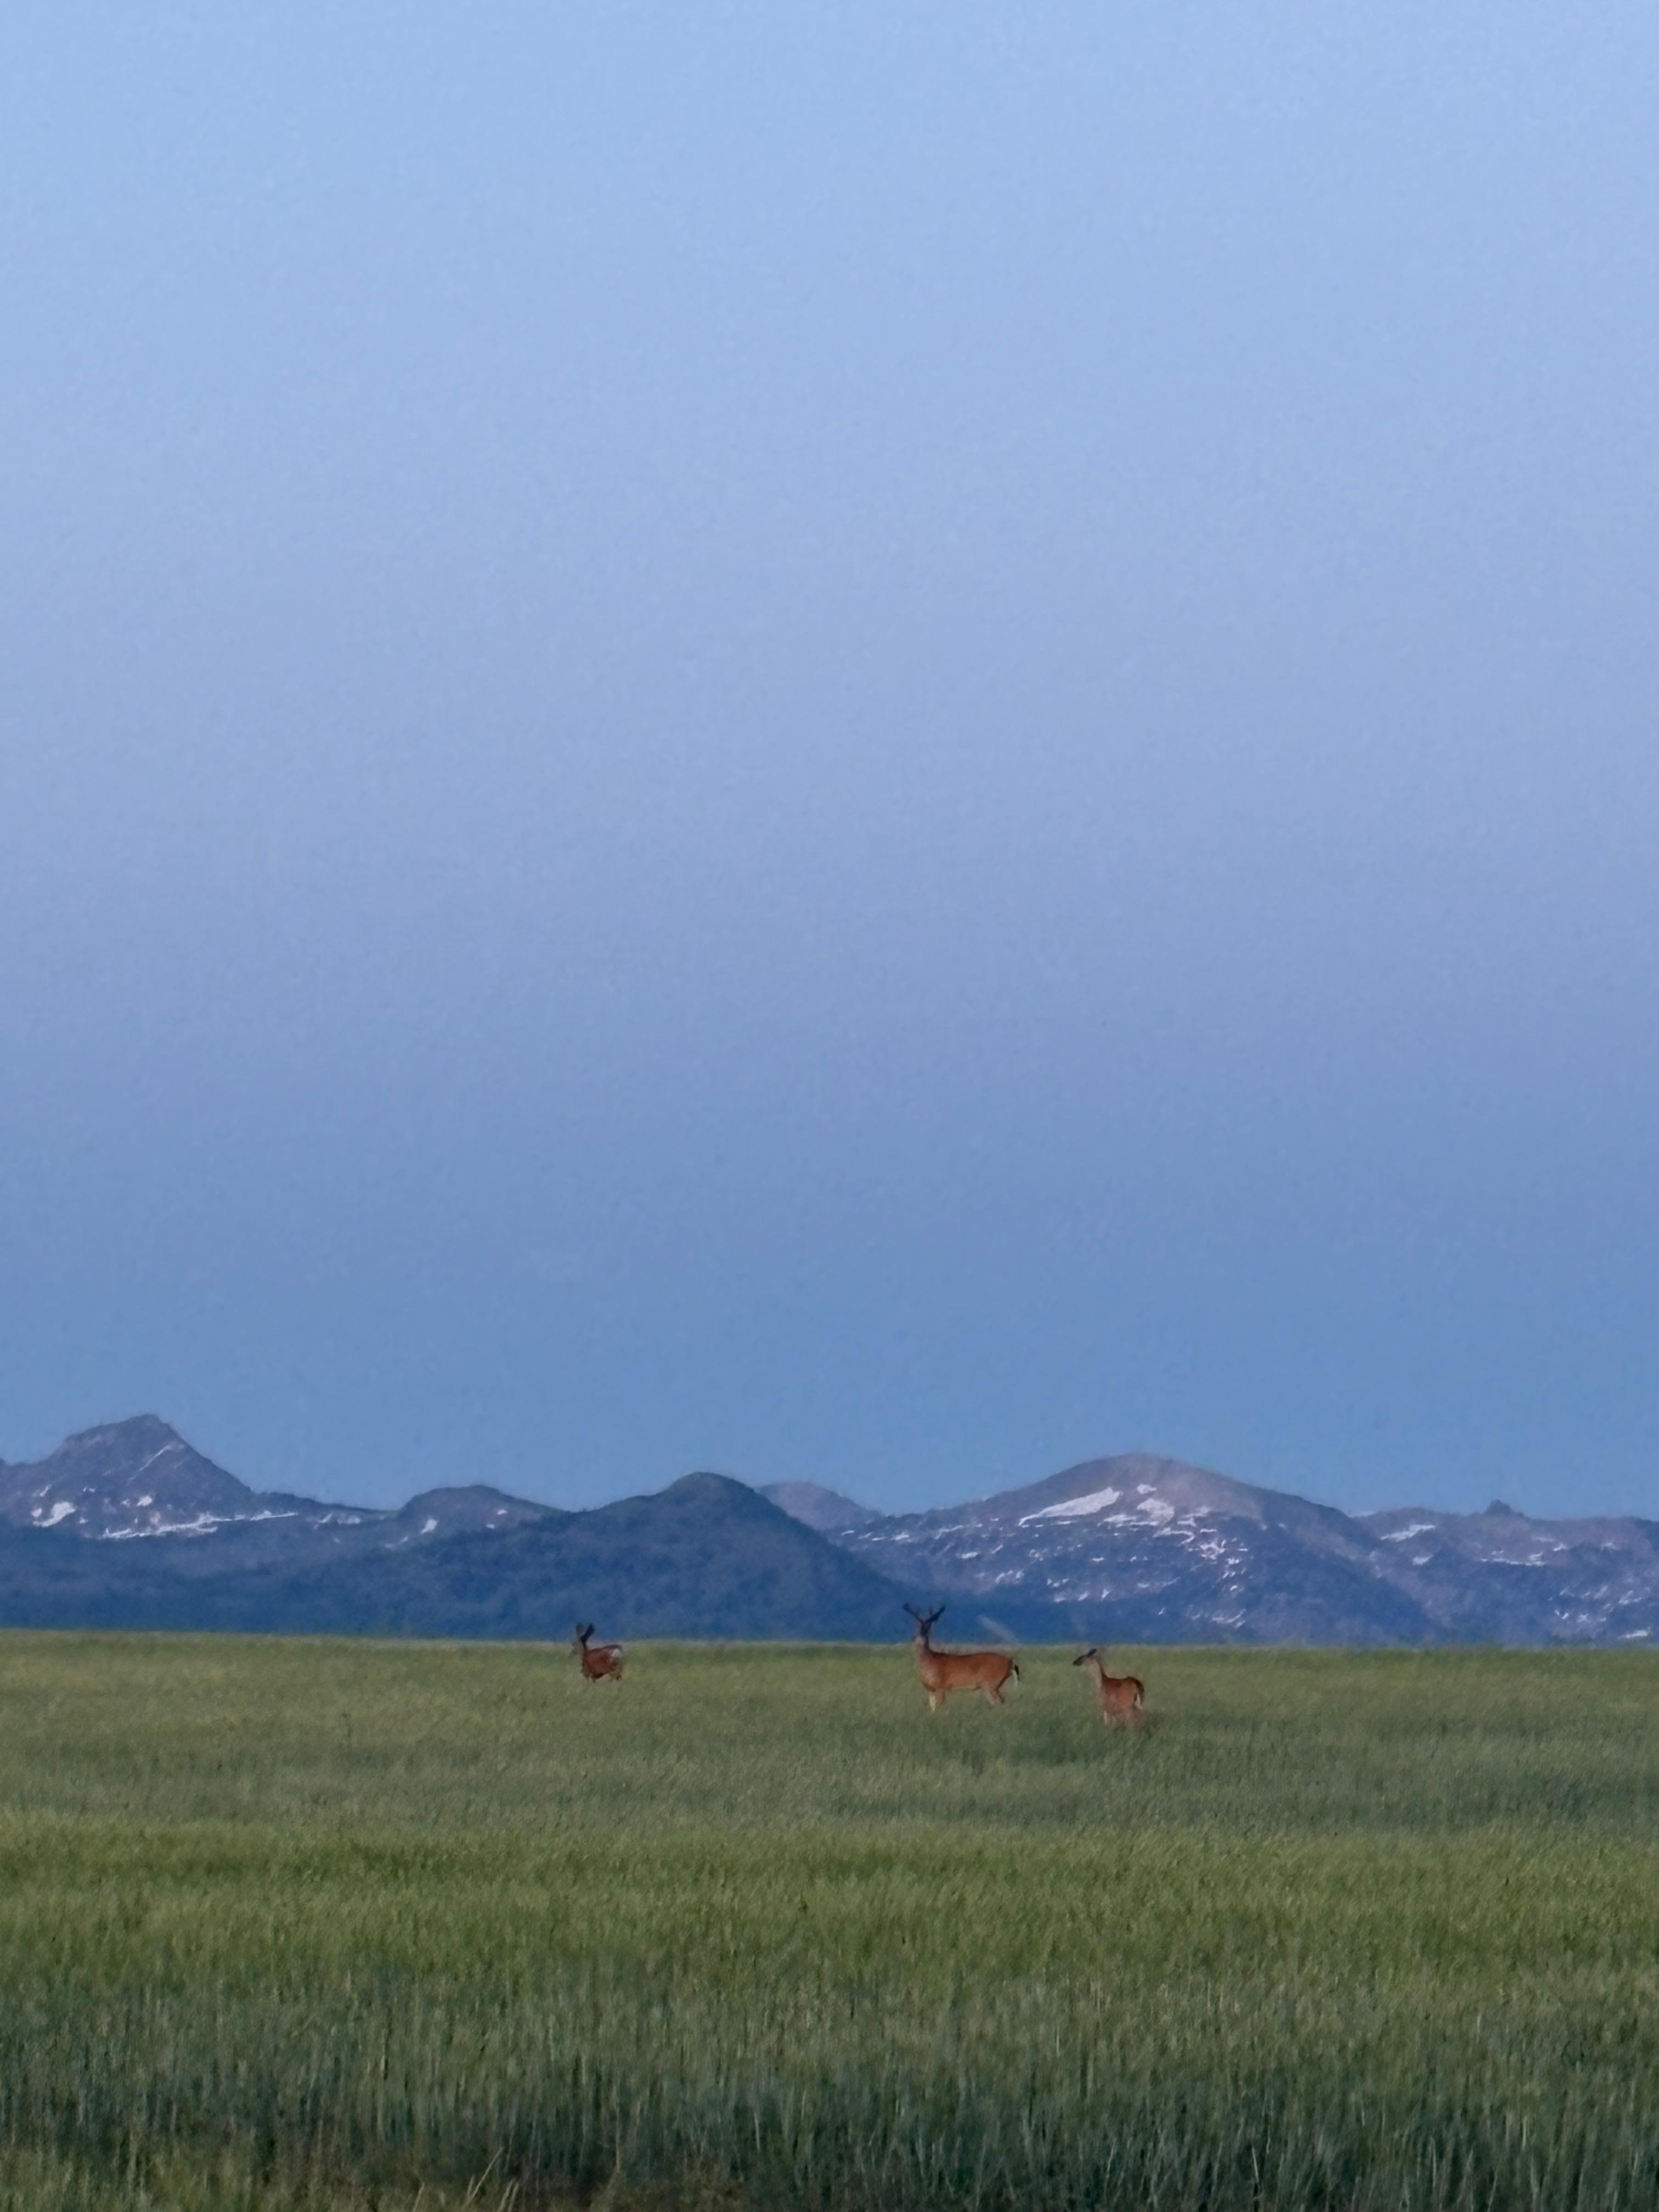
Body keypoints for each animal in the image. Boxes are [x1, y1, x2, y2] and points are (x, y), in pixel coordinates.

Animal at [904, 1603, 1019, 1711]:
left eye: (927, 1633)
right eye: (915, 1634)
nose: (921, 1639)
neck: (929, 1662)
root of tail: (1011, 1661)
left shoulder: (941, 1686)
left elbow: (940, 1707)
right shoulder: (930, 1689)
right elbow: (933, 1708)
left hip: (991, 1684)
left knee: (1000, 1703)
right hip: (994, 1686)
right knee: (1002, 1702)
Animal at [1073, 1648, 1146, 1731]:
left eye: (1082, 1657)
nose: (1074, 1662)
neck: (1101, 1682)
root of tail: (1136, 1686)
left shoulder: (1105, 1707)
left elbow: (1107, 1723)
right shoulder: (1113, 1710)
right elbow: (1113, 1724)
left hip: (1128, 1707)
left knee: (1132, 1724)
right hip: (1138, 1705)